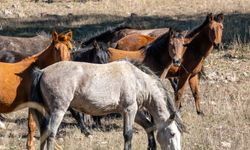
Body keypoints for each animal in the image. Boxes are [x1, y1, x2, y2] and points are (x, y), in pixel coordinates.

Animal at [30, 60, 185, 150]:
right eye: (172, 134)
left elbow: (149, 126)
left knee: (44, 133)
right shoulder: (130, 110)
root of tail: (42, 71)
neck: (137, 80)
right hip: (59, 111)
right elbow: (128, 135)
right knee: (51, 134)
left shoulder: (132, 112)